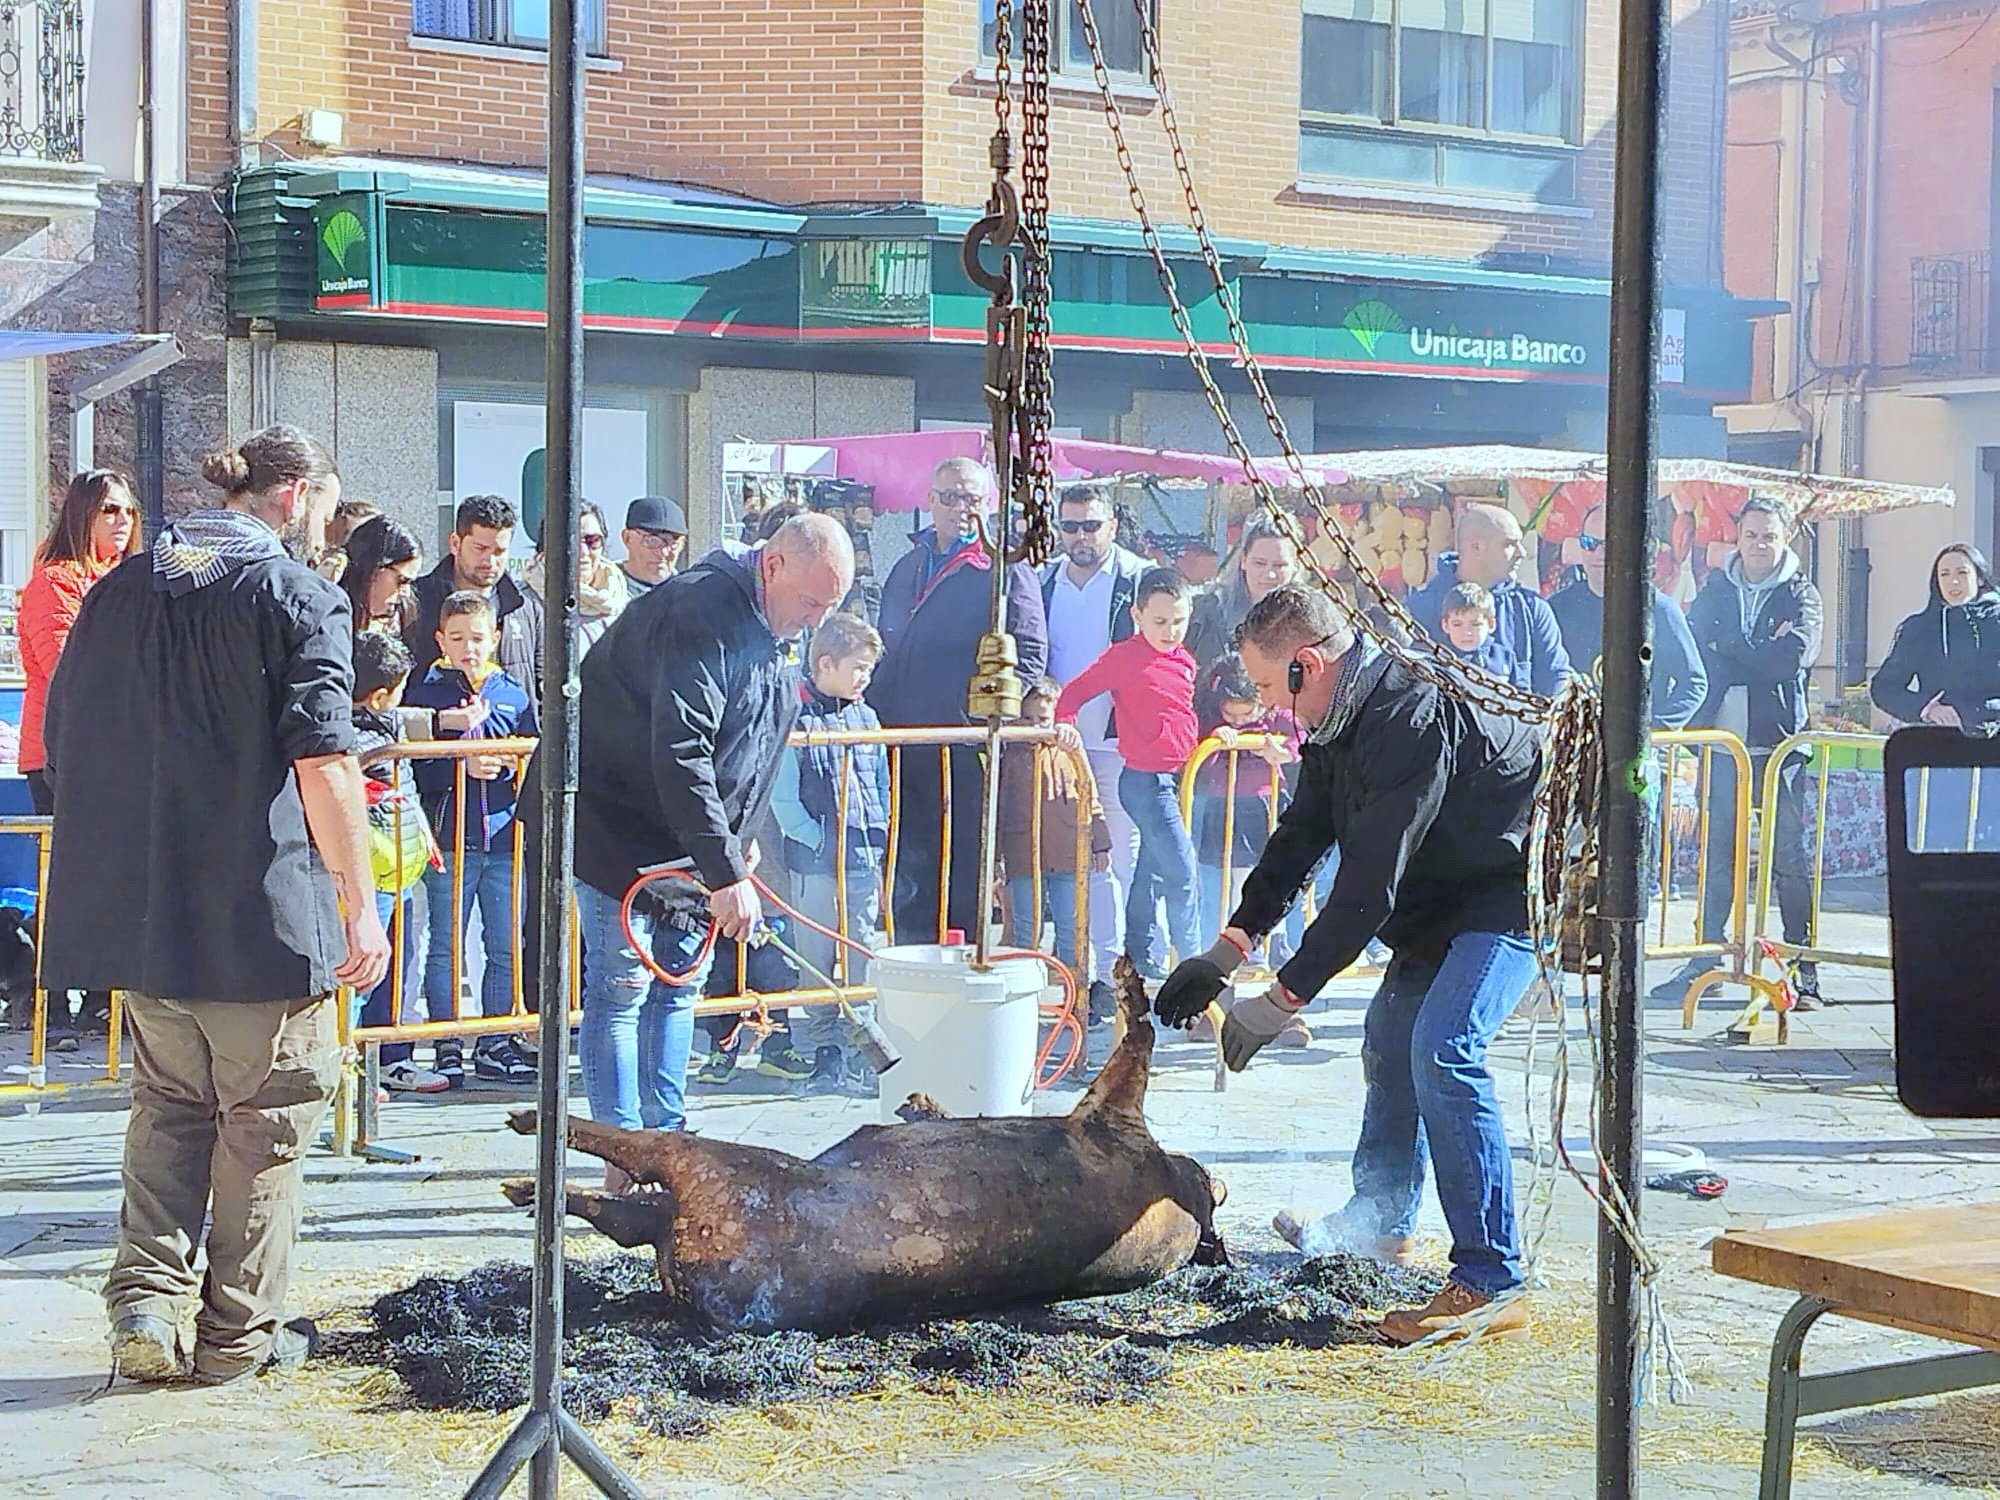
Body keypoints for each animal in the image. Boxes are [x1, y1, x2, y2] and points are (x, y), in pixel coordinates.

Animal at [498, 956, 1216, 1336]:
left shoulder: (1113, 1115)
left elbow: (1138, 1037)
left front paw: (1131, 983)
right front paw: (918, 1102)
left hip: (719, 1171)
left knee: (641, 1160)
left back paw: (531, 1137)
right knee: (631, 1214)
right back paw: (530, 1181)